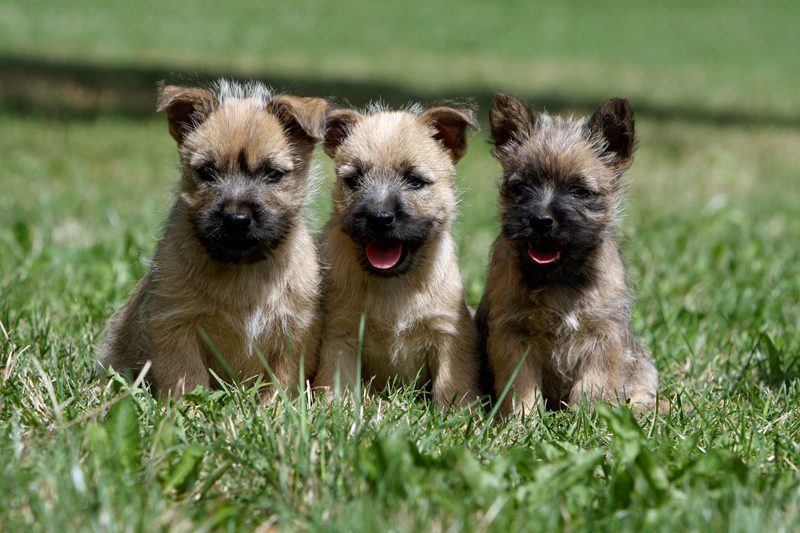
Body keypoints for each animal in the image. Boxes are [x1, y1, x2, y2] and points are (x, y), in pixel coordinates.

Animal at [97, 80, 328, 400]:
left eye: (273, 174)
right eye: (207, 172)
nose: (237, 219)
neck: (242, 269)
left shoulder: (296, 330)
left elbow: (281, 381)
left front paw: (275, 408)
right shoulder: (176, 324)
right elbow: (186, 376)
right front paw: (190, 407)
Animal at [312, 101, 482, 408]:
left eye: (415, 181)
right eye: (353, 179)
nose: (379, 218)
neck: (391, 284)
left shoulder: (449, 334)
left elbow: (452, 385)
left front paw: (459, 415)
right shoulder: (339, 334)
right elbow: (337, 381)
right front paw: (335, 410)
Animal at [478, 93, 660, 414]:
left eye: (580, 191)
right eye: (521, 187)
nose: (541, 220)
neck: (557, 277)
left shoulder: (604, 335)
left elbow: (594, 385)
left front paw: (586, 417)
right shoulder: (511, 334)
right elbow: (521, 385)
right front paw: (522, 419)